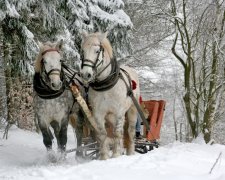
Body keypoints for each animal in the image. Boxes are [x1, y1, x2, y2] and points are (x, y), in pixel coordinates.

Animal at [78, 31, 139, 160]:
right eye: (83, 51)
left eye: (97, 51)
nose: (86, 74)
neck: (105, 85)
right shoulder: (98, 113)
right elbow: (102, 134)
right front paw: (104, 157)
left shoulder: (119, 112)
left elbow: (117, 133)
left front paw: (116, 155)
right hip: (110, 116)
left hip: (132, 110)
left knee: (129, 131)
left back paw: (130, 152)